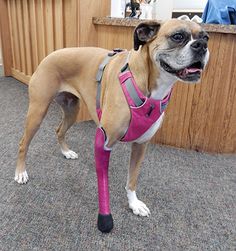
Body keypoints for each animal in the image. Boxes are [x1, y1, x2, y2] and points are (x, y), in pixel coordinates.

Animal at [14, 18, 209, 232]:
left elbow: (132, 179)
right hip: (37, 111)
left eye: (206, 37)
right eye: (178, 36)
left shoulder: (141, 146)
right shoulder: (104, 142)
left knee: (59, 131)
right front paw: (105, 217)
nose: (201, 45)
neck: (146, 85)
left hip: (72, 110)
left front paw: (134, 204)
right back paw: (21, 173)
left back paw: (66, 152)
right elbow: (103, 184)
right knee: (23, 143)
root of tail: (51, 54)